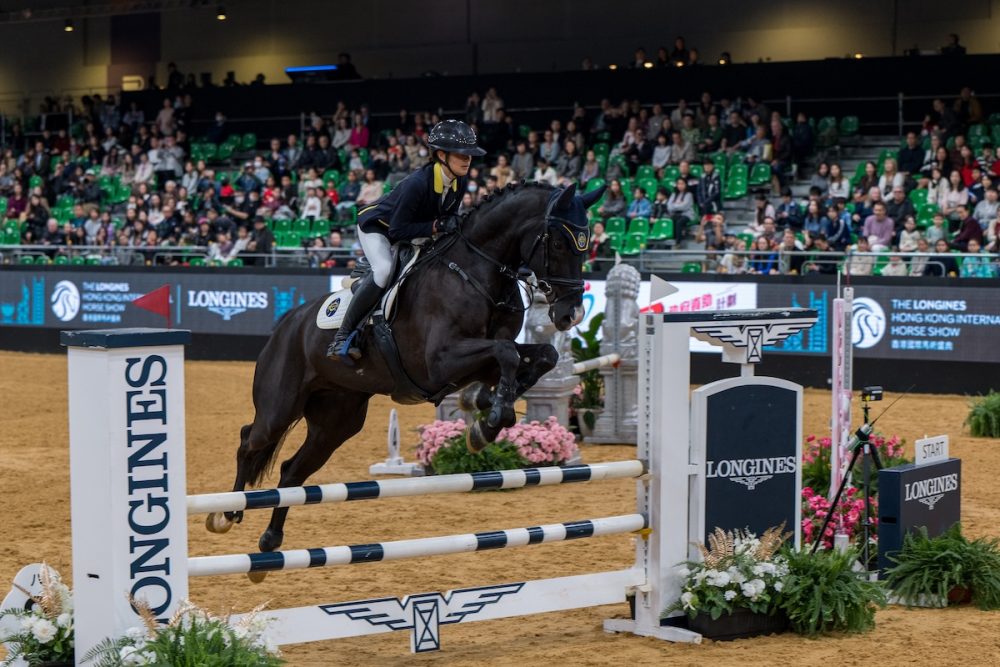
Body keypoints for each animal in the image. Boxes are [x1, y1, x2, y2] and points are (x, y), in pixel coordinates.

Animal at [208, 182, 605, 562]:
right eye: (558, 241)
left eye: (586, 245)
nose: (570, 315)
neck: (477, 271)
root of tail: (287, 323)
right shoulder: (438, 363)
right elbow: (506, 353)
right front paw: (492, 418)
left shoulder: (480, 357)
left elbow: (541, 356)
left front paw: (485, 413)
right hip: (280, 405)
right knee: (250, 440)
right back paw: (224, 515)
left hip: (336, 420)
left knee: (292, 469)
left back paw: (271, 539)